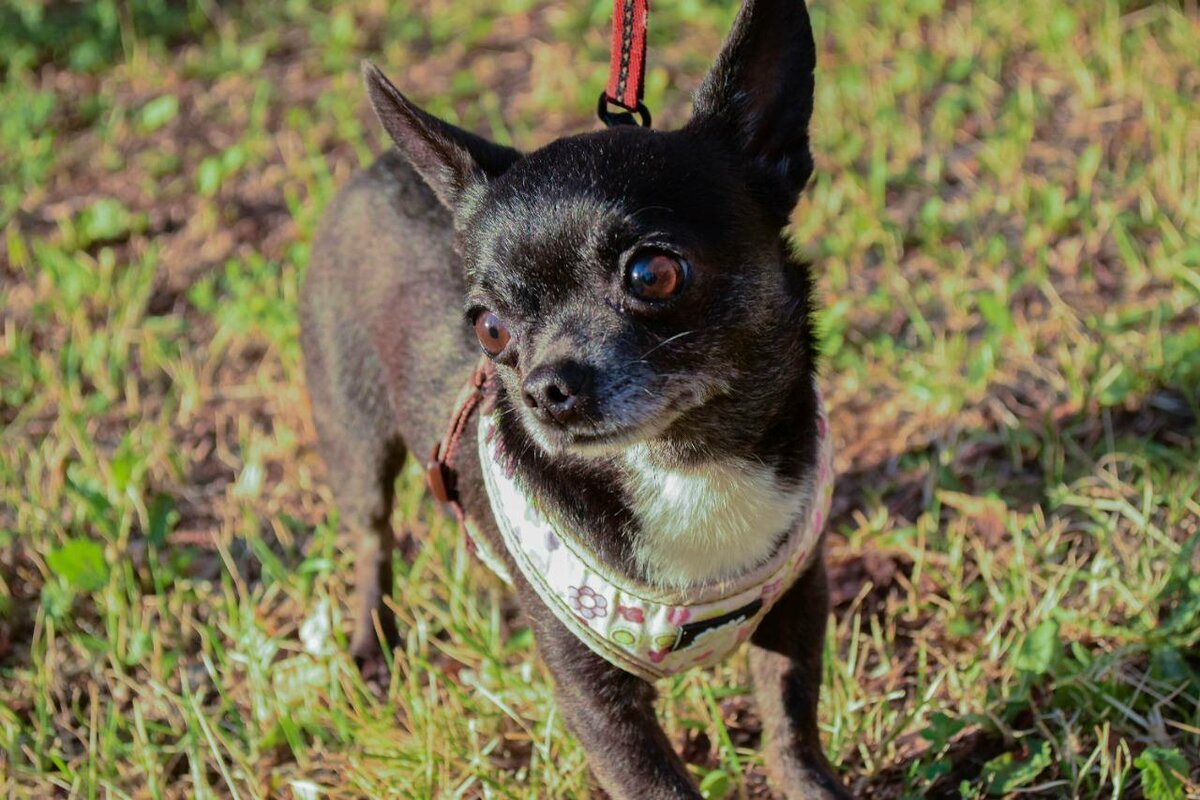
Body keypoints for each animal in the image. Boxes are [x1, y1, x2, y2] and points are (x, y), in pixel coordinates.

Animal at [297, 3, 854, 796]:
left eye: (653, 273)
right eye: (489, 328)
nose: (544, 388)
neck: (684, 464)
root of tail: (375, 170)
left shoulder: (797, 608)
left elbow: (790, 728)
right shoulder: (595, 698)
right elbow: (659, 781)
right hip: (354, 436)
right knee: (372, 537)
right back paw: (373, 642)